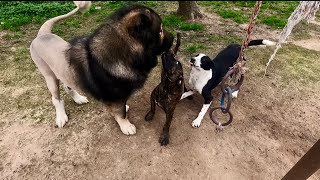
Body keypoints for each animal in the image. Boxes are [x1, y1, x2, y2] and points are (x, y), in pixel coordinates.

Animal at [29, 1, 175, 134]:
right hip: (50, 77)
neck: (123, 52)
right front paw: (126, 126)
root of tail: (42, 35)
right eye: (160, 30)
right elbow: (121, 113)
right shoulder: (116, 97)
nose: (174, 37)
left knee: (67, 86)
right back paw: (61, 117)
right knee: (56, 99)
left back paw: (79, 98)